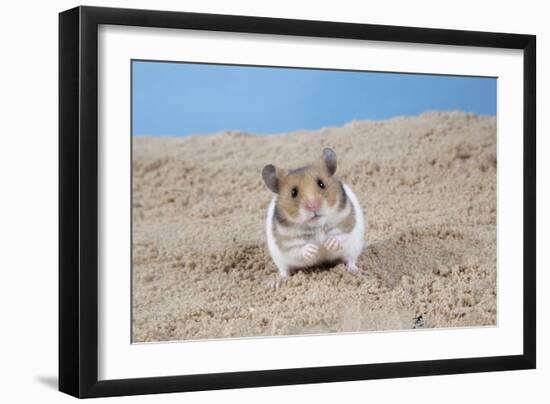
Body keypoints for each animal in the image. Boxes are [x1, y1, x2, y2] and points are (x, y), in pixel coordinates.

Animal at [264, 148, 366, 278]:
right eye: (293, 192)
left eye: (321, 184)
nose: (313, 206)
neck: (317, 226)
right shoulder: (287, 242)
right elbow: (298, 249)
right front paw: (314, 249)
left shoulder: (348, 223)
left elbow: (340, 236)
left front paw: (328, 245)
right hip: (279, 259)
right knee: (284, 269)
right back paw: (280, 280)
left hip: (354, 248)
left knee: (351, 260)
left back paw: (354, 270)